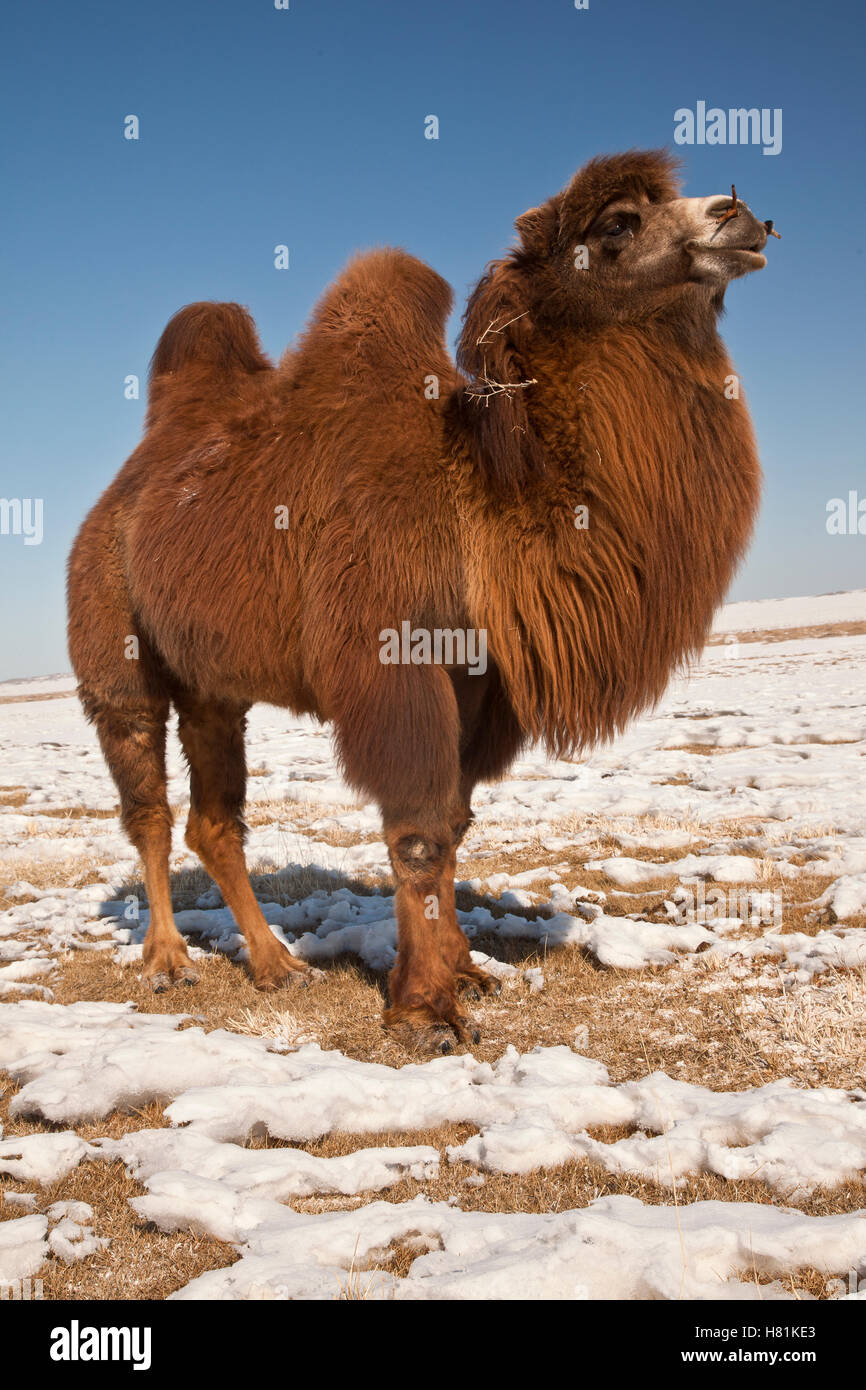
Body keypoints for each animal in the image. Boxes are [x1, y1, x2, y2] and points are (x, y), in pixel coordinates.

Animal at [67, 150, 773, 1052]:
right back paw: (166, 961)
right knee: (148, 807)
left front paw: (466, 972)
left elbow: (457, 822)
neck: (483, 497)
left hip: (213, 686)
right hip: (114, 650)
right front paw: (426, 1011)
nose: (740, 216)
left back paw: (275, 965)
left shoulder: (477, 683)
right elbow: (418, 834)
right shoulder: (391, 663)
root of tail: (125, 488)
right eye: (617, 222)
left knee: (214, 820)